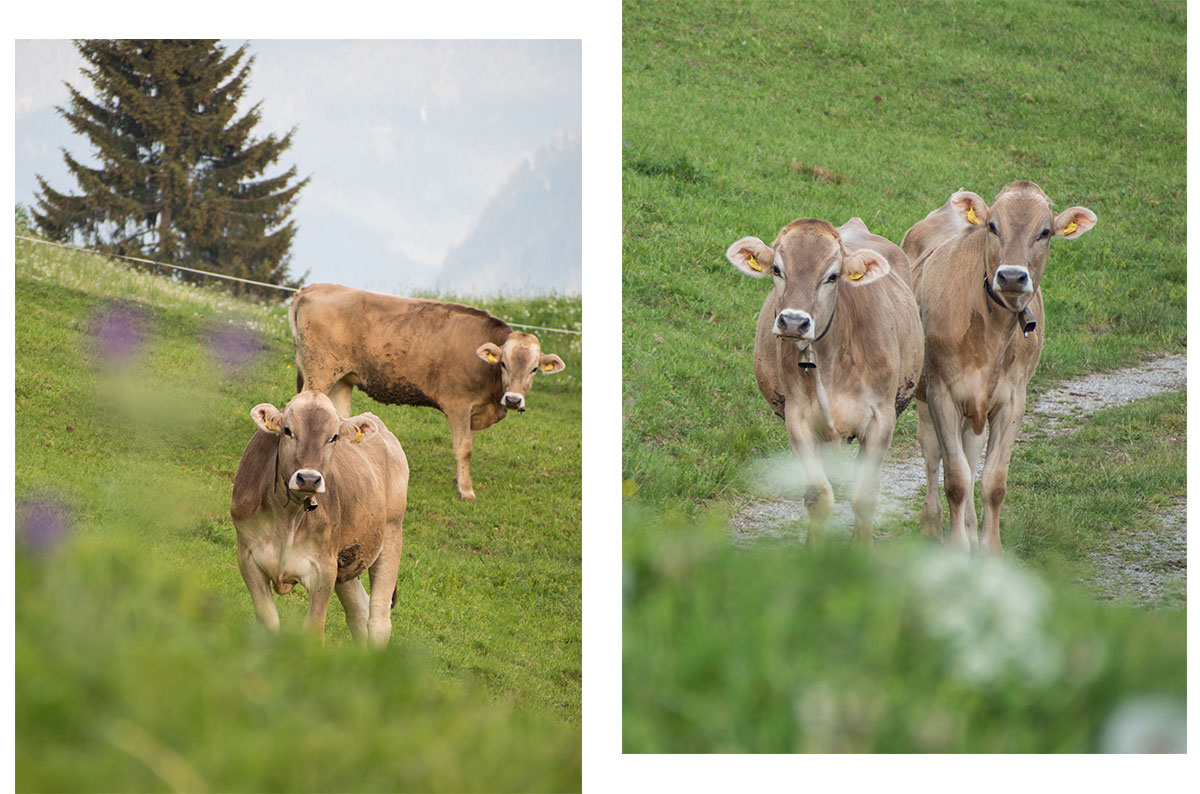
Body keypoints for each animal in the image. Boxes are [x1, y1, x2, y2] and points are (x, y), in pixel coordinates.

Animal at [292, 283, 568, 501]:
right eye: (503, 364)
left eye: (534, 369)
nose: (513, 399)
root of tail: (313, 287)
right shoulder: (458, 404)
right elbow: (463, 448)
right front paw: (466, 491)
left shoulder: (473, 410)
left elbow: (468, 444)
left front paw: (459, 481)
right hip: (320, 372)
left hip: (342, 378)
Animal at [724, 215, 921, 546]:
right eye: (777, 269)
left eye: (832, 276)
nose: (793, 322)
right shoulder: (798, 418)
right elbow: (818, 496)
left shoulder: (881, 418)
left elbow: (864, 497)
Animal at [907, 179, 1099, 554]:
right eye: (993, 226)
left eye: (1045, 232)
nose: (1011, 276)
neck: (993, 335)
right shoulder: (941, 393)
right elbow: (955, 479)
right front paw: (956, 549)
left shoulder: (1013, 399)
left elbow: (993, 481)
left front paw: (989, 551)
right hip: (923, 395)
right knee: (933, 455)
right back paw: (931, 528)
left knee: (969, 454)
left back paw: (968, 528)